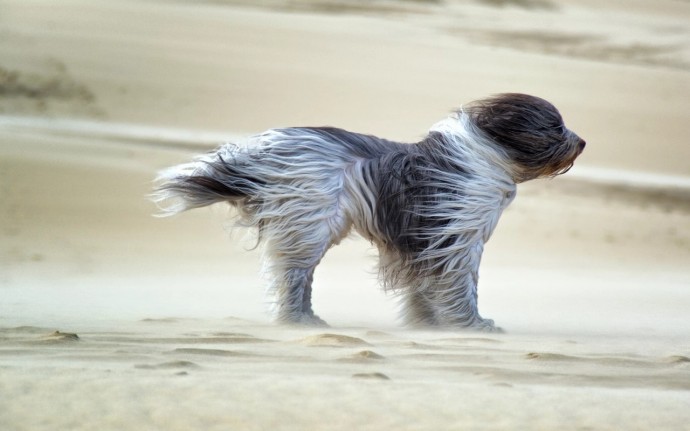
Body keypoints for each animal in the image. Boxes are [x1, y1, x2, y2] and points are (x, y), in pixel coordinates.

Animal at [153, 93, 584, 330]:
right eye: (555, 126)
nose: (582, 142)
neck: (486, 155)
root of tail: (266, 147)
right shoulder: (456, 236)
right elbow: (460, 285)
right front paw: (471, 326)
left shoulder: (423, 240)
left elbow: (423, 287)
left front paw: (427, 325)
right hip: (309, 222)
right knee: (292, 275)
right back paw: (297, 319)